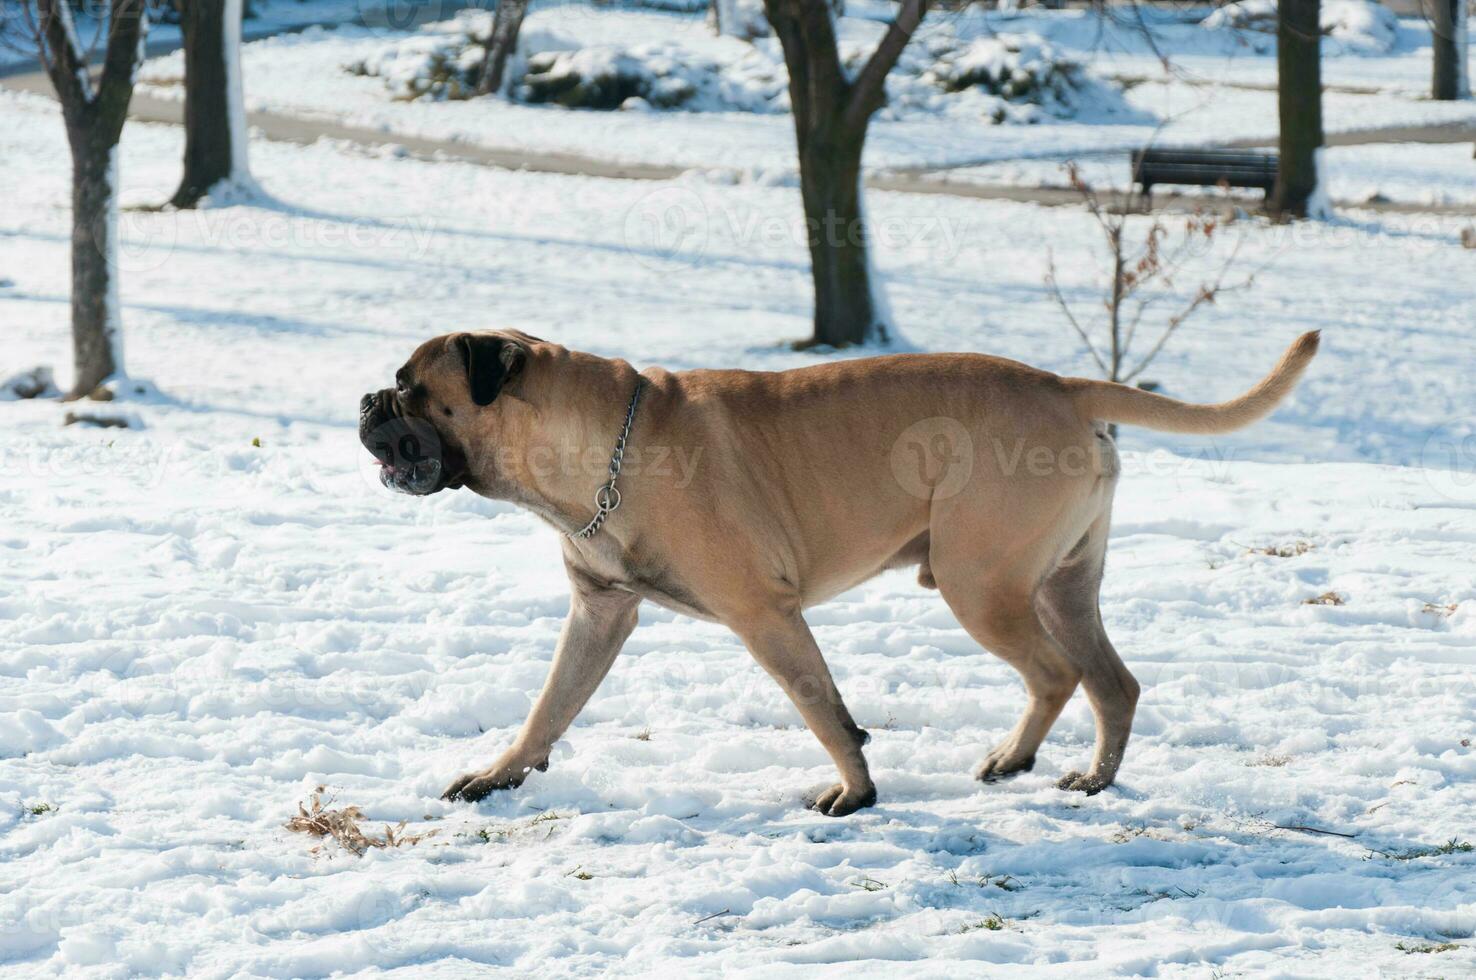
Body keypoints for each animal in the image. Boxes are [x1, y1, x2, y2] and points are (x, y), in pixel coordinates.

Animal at [363, 333, 1322, 814]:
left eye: (412, 387)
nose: (368, 398)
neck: (596, 452)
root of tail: (1066, 385)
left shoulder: (766, 617)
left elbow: (822, 708)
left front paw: (855, 790)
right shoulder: (599, 615)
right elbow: (549, 706)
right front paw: (500, 775)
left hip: (982, 584)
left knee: (1059, 674)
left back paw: (1033, 762)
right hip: (1060, 585)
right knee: (1110, 682)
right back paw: (1080, 773)